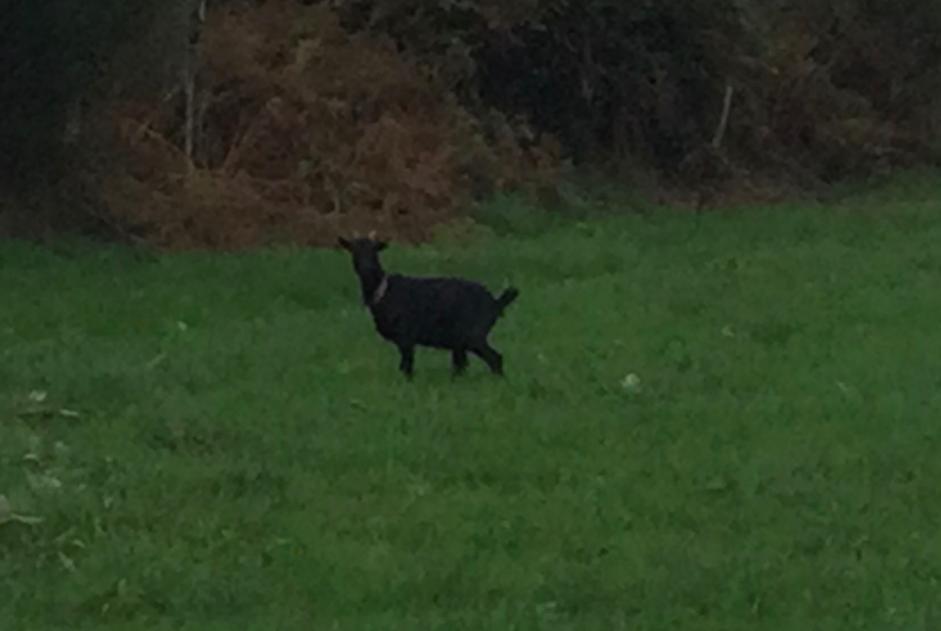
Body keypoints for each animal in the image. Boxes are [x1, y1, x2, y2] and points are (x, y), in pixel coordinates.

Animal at [338, 235, 516, 378]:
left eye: (375, 251)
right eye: (354, 251)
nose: (367, 269)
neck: (384, 291)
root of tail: (495, 302)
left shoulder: (406, 338)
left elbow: (406, 367)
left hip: (474, 335)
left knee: (495, 358)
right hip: (462, 341)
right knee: (462, 365)